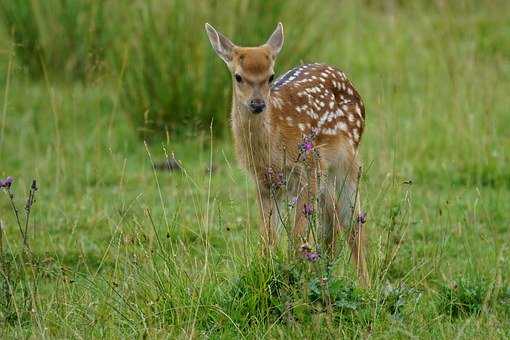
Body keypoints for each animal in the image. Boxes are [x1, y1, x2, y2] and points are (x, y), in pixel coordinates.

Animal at [205, 22, 368, 286]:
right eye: (238, 76)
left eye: (271, 76)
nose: (258, 104)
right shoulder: (263, 181)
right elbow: (268, 239)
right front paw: (269, 273)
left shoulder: (309, 169)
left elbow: (297, 238)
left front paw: (295, 279)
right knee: (331, 219)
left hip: (346, 160)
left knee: (352, 222)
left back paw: (365, 285)